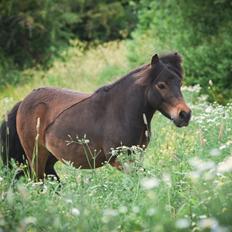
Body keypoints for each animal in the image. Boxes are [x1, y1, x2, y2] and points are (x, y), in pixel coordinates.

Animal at [0, 53, 190, 180]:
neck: (123, 111)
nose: (185, 114)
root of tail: (23, 103)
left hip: (49, 157)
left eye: (179, 83)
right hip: (35, 157)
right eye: (161, 85)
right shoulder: (117, 158)